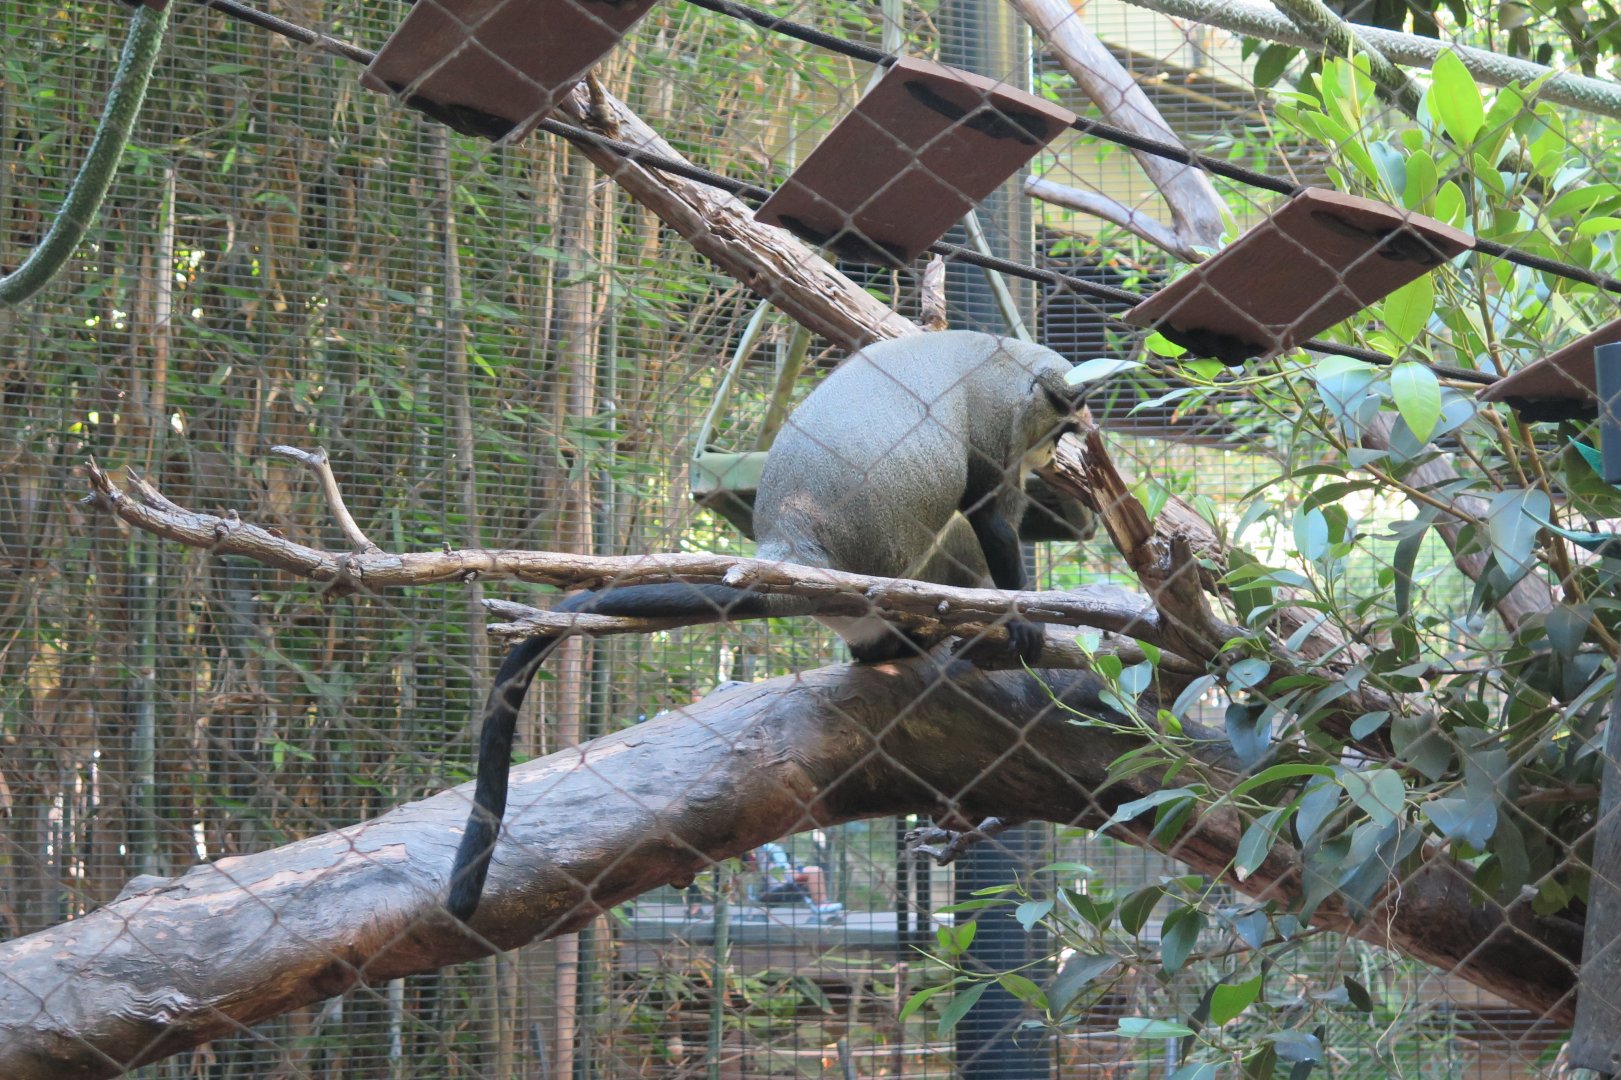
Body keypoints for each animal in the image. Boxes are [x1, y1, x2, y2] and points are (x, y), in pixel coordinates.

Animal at [446, 331, 1080, 921]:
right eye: (1056, 429)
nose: (1052, 454)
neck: (1004, 358)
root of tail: (794, 549)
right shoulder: (1001, 426)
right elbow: (991, 519)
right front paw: (1023, 617)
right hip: (904, 563)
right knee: (959, 530)